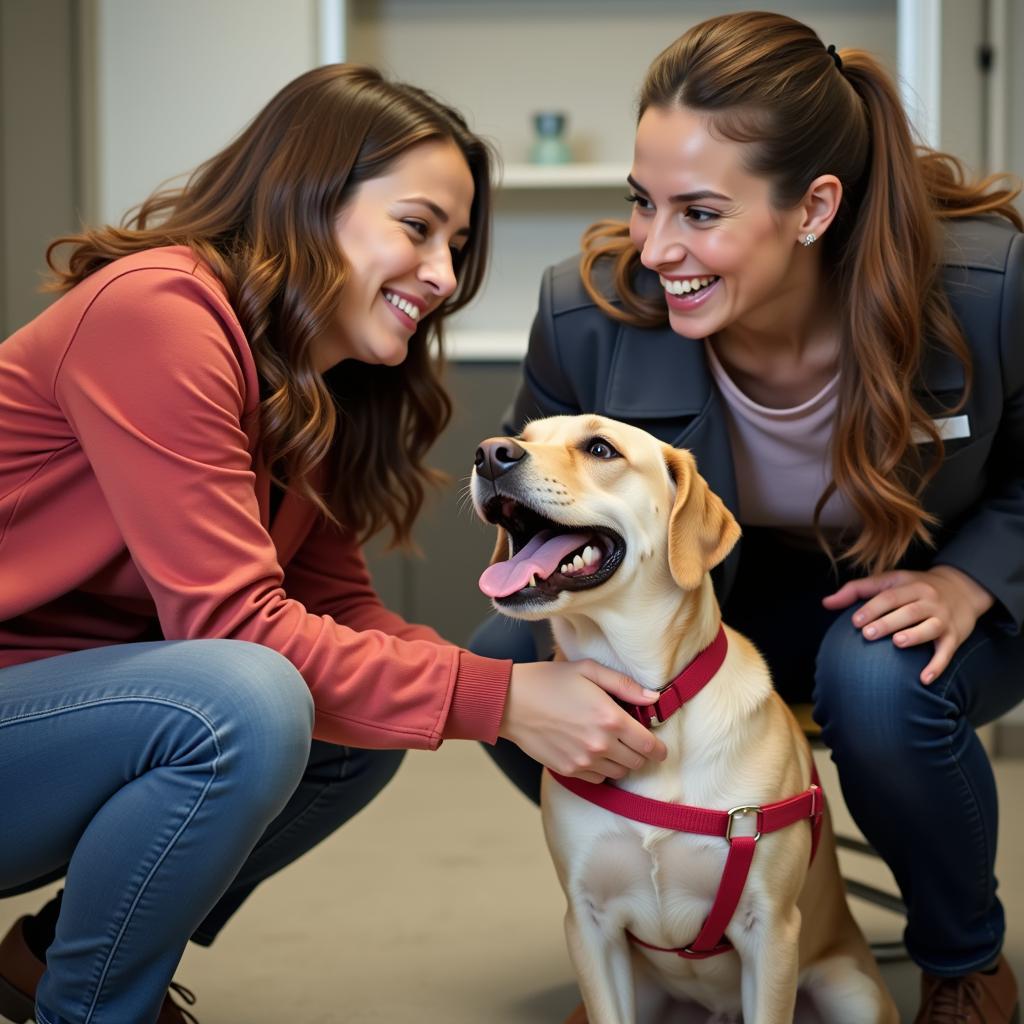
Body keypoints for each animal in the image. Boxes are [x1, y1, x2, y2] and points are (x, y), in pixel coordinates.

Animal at [468, 415, 897, 1024]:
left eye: (600, 448)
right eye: (524, 436)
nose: (489, 454)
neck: (652, 705)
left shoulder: (770, 929)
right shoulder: (589, 925)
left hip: (850, 989)